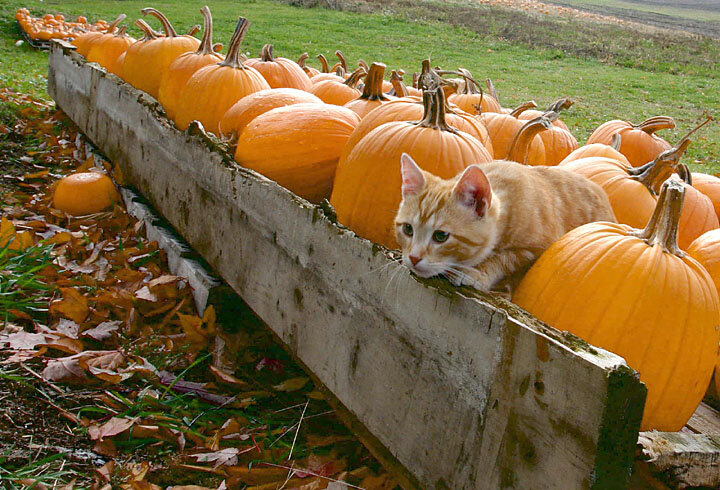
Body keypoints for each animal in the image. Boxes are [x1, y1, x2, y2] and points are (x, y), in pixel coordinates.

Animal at [396, 153, 616, 290]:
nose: (413, 258)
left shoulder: (540, 248)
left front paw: (478, 273)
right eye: (408, 229)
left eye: (441, 236)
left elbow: (507, 258)